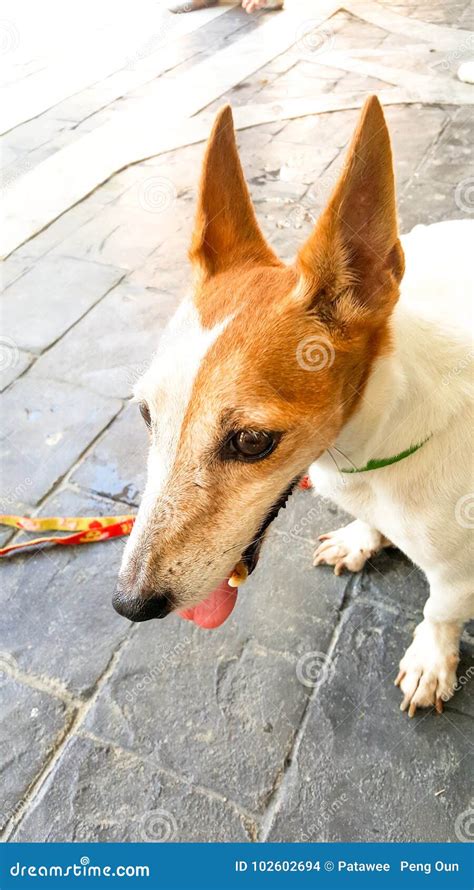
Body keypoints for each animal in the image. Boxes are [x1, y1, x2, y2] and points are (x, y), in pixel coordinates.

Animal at [115, 99, 474, 716]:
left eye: (251, 441)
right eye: (145, 415)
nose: (129, 605)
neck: (368, 458)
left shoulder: (459, 575)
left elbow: (438, 611)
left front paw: (432, 659)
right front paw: (361, 537)